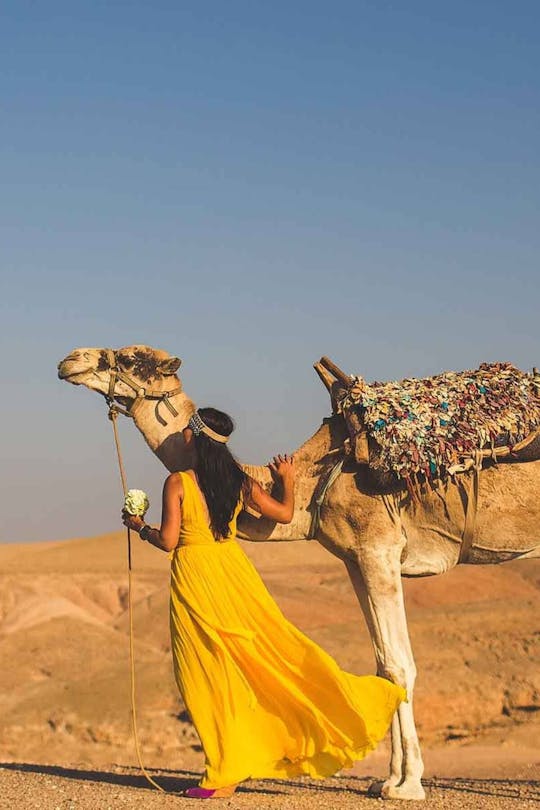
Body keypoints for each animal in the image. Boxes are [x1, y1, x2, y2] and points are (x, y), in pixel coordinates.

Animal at [58, 344, 540, 800]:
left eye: (130, 357)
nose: (70, 360)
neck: (319, 474)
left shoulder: (379, 549)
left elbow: (399, 665)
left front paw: (407, 786)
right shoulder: (355, 560)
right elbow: (383, 664)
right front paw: (384, 780)